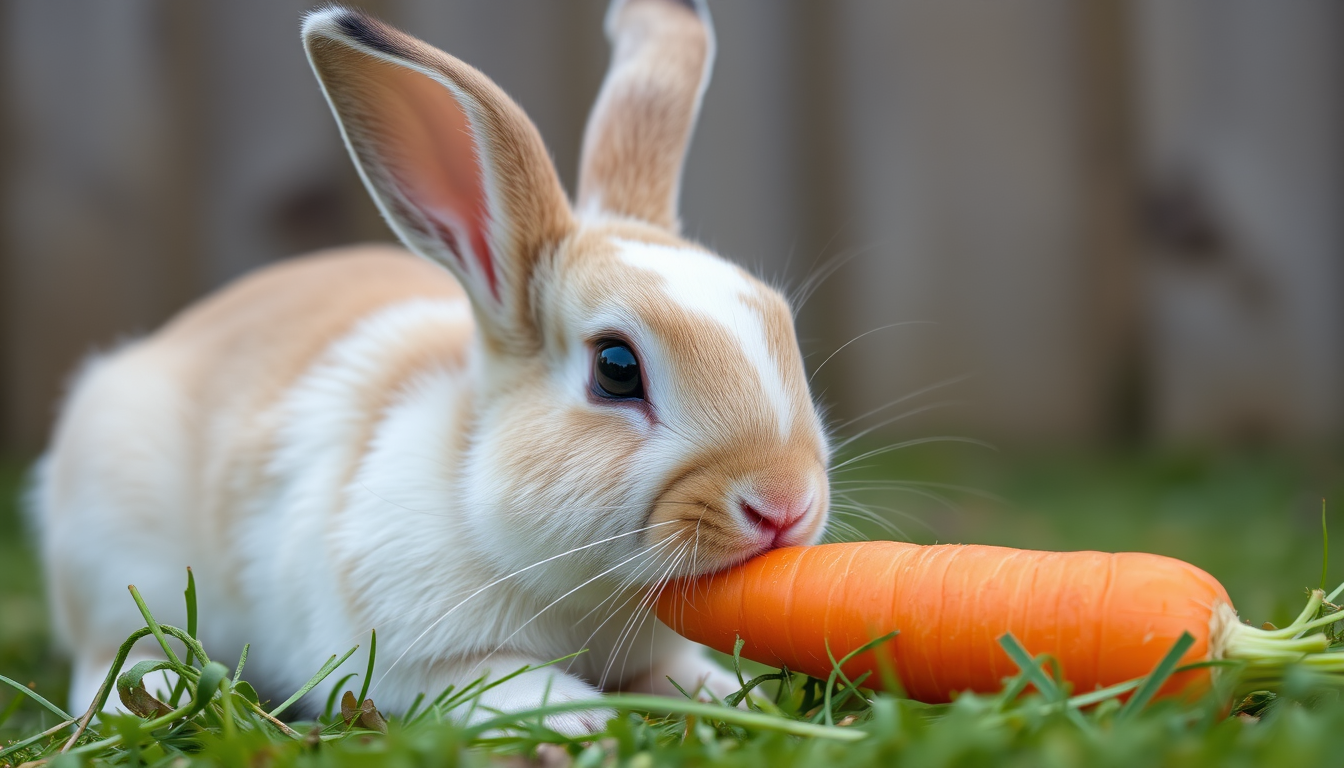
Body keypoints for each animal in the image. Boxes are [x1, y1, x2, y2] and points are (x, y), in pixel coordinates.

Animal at [34, 0, 830, 736]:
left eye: (781, 321)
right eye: (615, 368)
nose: (783, 505)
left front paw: (719, 694)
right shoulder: (405, 653)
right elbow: (496, 678)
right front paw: (579, 719)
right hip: (112, 557)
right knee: (105, 655)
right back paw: (151, 691)